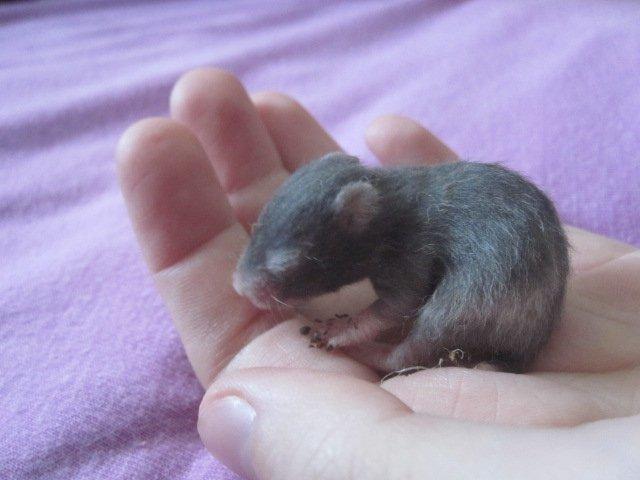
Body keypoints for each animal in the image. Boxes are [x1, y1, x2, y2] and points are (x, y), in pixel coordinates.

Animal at [233, 152, 569, 373]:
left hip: (475, 301)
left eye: (287, 263)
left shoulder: (409, 255)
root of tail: (526, 351)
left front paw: (344, 329)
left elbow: (400, 303)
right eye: (256, 226)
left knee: (419, 343)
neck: (386, 199)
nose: (240, 288)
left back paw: (370, 351)